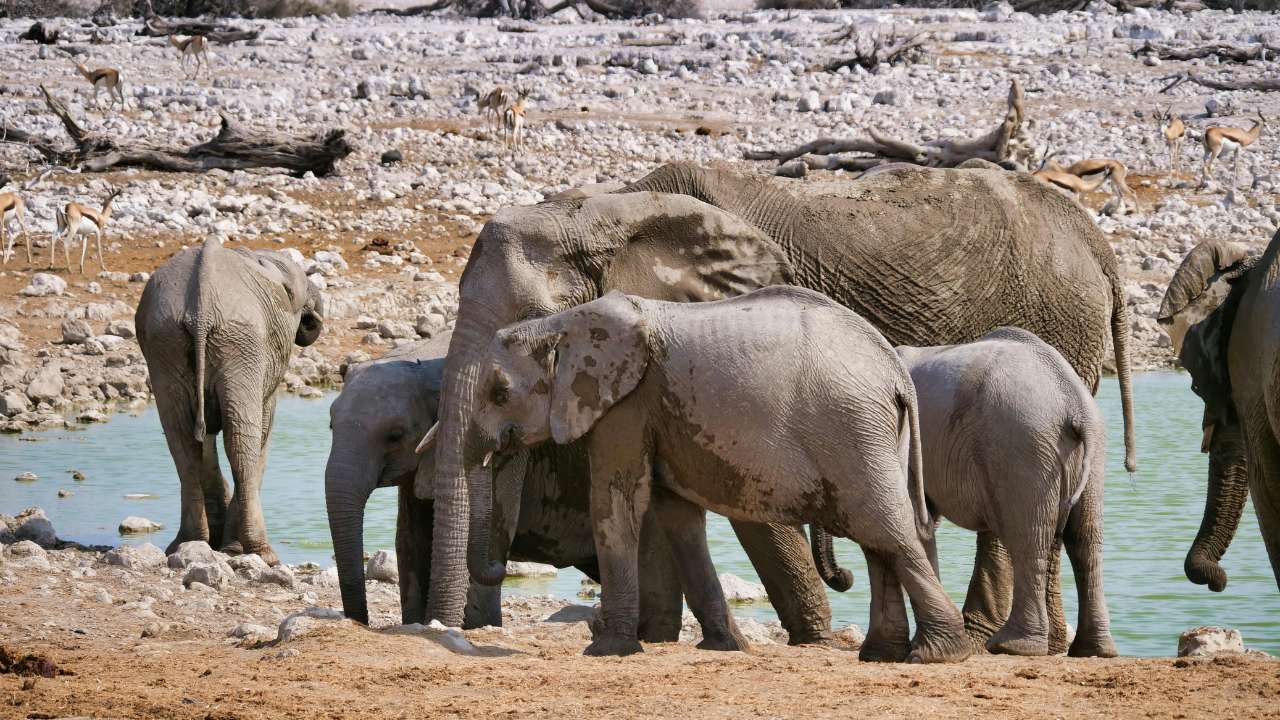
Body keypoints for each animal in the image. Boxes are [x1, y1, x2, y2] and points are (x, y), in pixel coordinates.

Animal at [136, 238, 324, 565]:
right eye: (294, 296)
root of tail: (200, 313)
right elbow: (263, 429)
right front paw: (232, 546)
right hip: (240, 341)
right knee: (240, 441)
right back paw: (261, 553)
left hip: (168, 343)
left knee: (182, 439)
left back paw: (189, 543)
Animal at [451, 287, 971, 662]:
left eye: (500, 393)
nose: (500, 565)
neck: (561, 322)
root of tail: (896, 373)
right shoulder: (654, 414)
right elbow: (677, 518)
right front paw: (724, 647)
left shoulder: (625, 404)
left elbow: (617, 502)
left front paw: (605, 650)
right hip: (872, 434)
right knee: (877, 540)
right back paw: (882, 656)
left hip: (851, 429)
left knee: (885, 531)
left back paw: (938, 655)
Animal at [817, 327, 1115, 657]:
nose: (845, 575)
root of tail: (1075, 404)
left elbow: (914, 524)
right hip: (1087, 454)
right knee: (1084, 540)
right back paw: (1093, 650)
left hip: (1022, 445)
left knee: (1028, 537)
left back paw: (1011, 646)